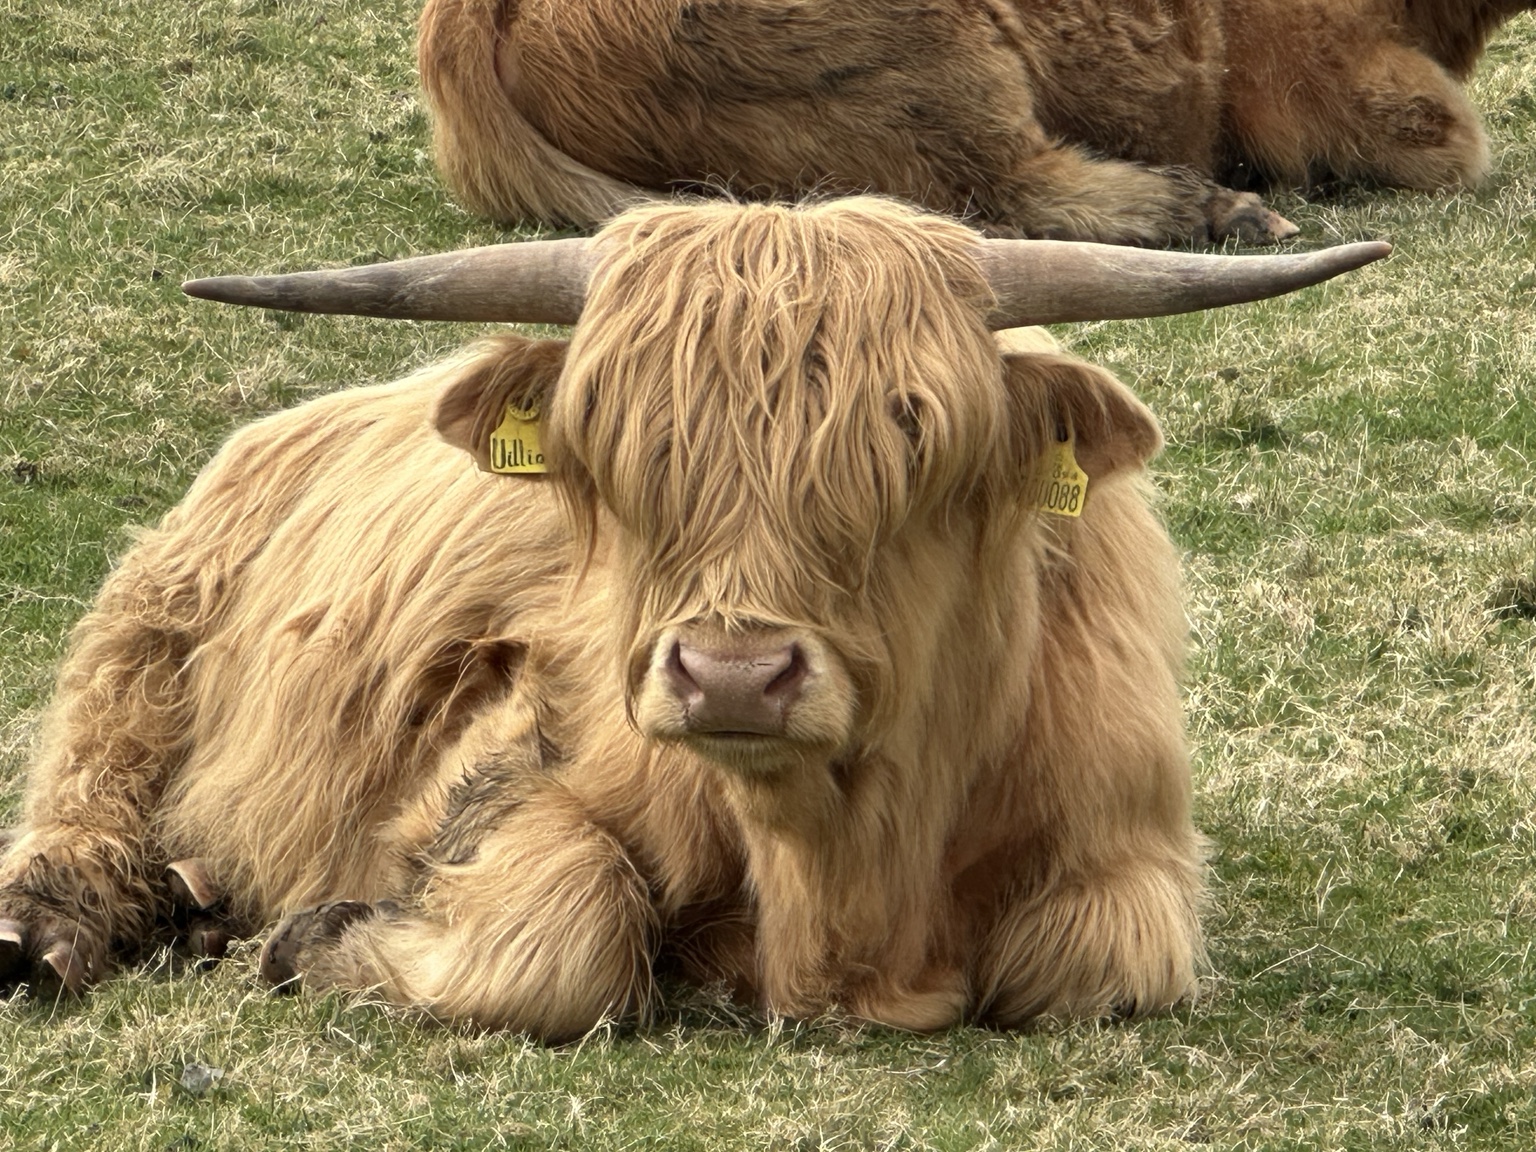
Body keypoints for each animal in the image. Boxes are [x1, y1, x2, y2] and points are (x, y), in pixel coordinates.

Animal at [0, 200, 1388, 1036]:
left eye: (913, 430)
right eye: (617, 451)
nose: (730, 675)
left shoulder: (1125, 854)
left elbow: (1101, 962)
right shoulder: (506, 759)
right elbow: (564, 930)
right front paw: (321, 936)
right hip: (149, 631)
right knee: (86, 782)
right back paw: (60, 926)